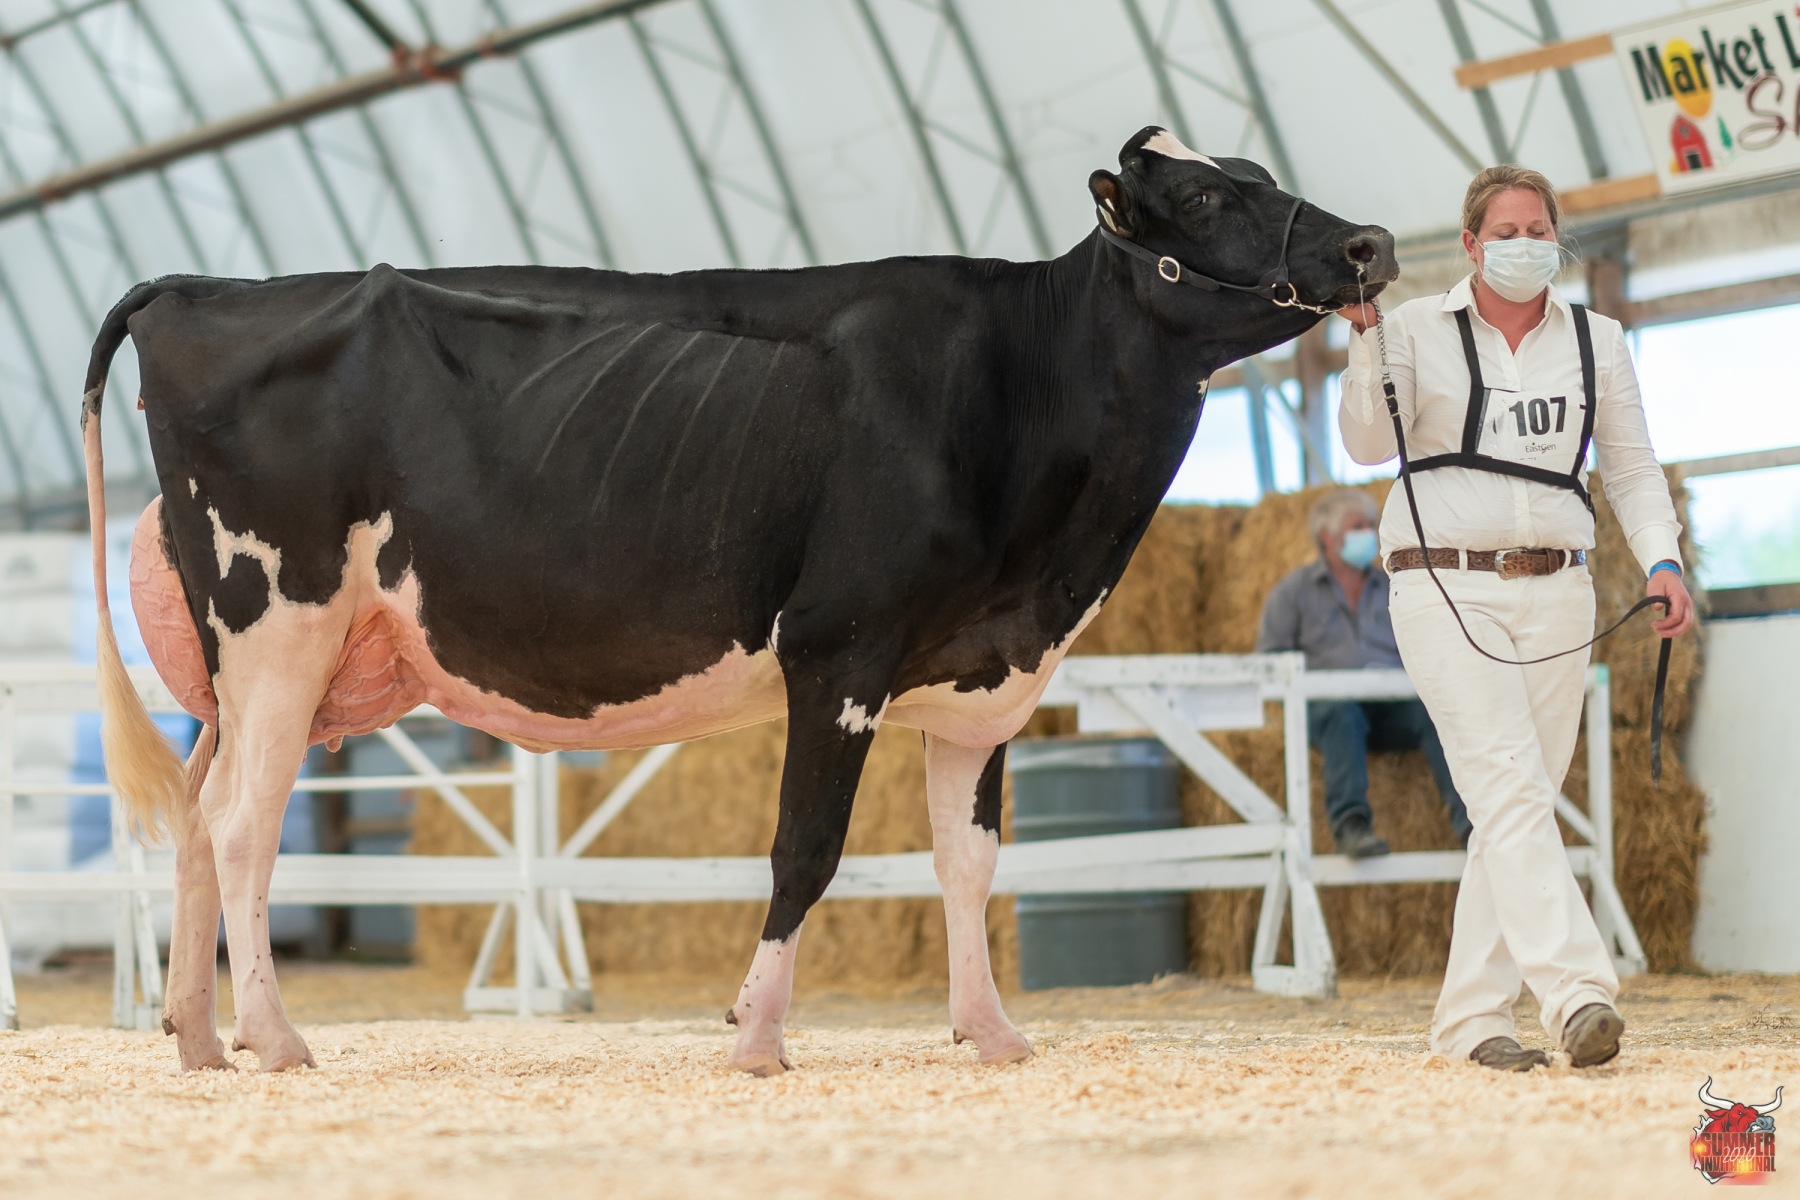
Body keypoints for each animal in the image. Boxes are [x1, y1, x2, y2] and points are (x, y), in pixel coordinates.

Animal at [81, 126, 1395, 1075]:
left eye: (1260, 174)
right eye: (1210, 201)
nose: (1373, 245)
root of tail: (198, 289)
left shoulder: (983, 680)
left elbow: (970, 864)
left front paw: (993, 1035)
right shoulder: (840, 651)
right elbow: (805, 851)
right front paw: (757, 1036)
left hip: (240, 666)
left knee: (196, 816)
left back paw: (197, 1040)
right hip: (279, 624)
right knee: (243, 826)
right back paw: (275, 1038)